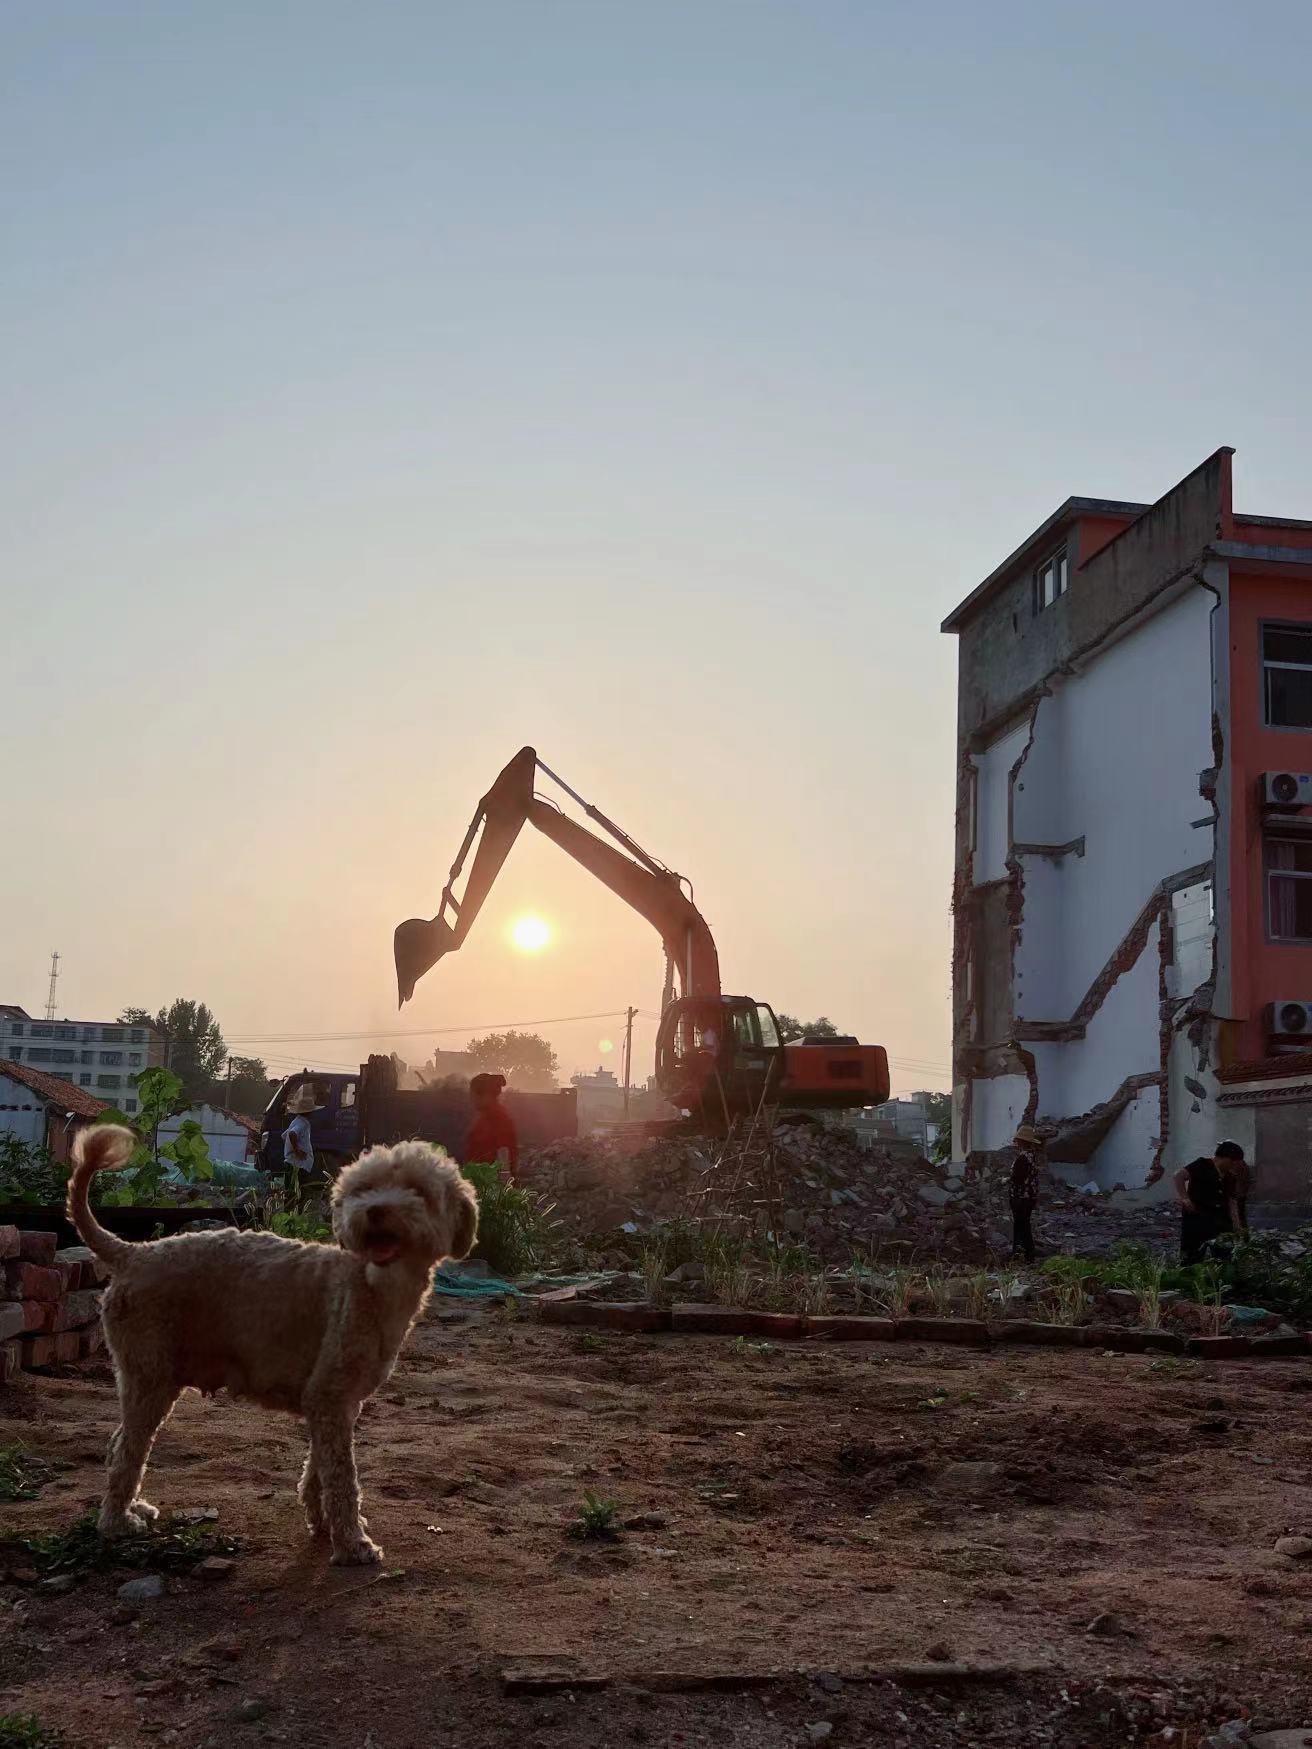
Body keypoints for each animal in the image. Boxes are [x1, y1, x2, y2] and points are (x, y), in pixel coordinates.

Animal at [66, 1126, 479, 1567]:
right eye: (364, 1189)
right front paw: (353, 1543)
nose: (374, 1211)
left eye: (418, 1190)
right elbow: (342, 1479)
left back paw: (133, 1508)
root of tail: (133, 1252)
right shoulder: (330, 1398)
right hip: (151, 1378)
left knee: (118, 1444)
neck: (371, 1282)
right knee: (128, 1451)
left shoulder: (335, 1403)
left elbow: (319, 1469)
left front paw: (323, 1523)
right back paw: (116, 1522)